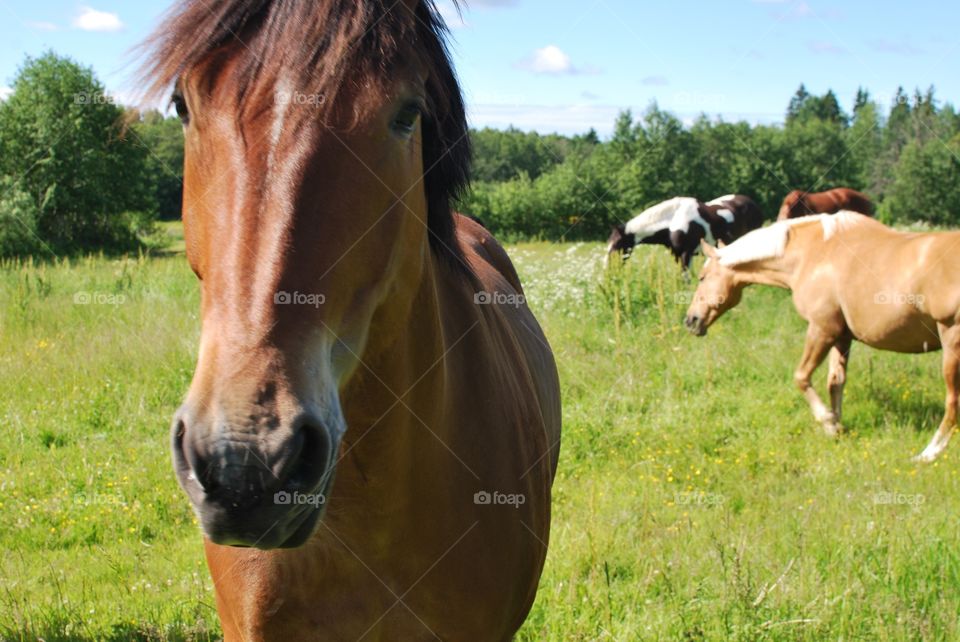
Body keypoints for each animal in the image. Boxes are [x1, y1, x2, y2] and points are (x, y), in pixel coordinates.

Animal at [606, 194, 763, 270]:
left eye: (617, 245)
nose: (609, 268)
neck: (672, 220)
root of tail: (753, 203)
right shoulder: (677, 254)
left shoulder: (686, 253)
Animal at [683, 212, 960, 463]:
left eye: (702, 277)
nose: (691, 320)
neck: (811, 254)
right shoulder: (841, 337)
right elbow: (835, 382)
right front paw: (837, 426)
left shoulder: (821, 329)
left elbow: (801, 377)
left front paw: (827, 422)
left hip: (951, 345)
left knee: (952, 402)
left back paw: (929, 453)